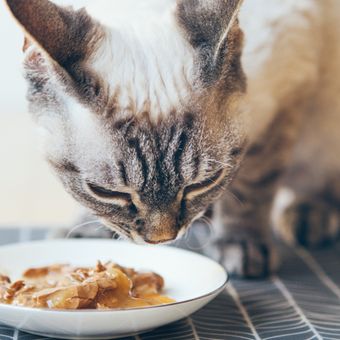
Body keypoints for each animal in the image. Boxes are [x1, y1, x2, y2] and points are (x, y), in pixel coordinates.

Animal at [4, 0, 340, 276]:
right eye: (106, 192)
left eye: (202, 183)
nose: (161, 240)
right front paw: (84, 232)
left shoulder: (286, 99)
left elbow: (251, 189)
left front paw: (240, 245)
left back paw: (307, 217)